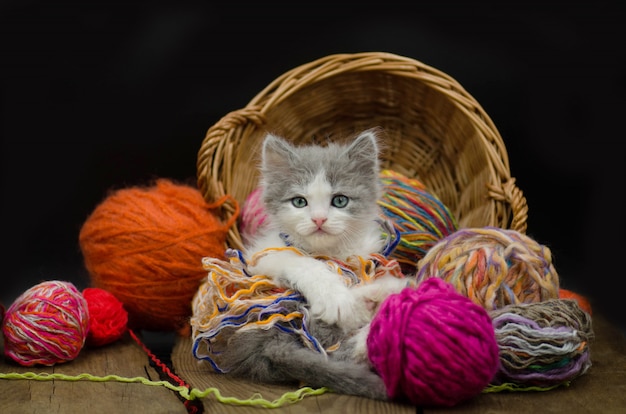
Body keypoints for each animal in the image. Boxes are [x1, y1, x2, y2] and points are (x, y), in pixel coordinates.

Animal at [211, 128, 404, 400]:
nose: (319, 219)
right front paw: (336, 299)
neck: (326, 251)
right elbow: (302, 263)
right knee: (338, 349)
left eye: (340, 201)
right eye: (299, 202)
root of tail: (266, 345)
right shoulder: (260, 255)